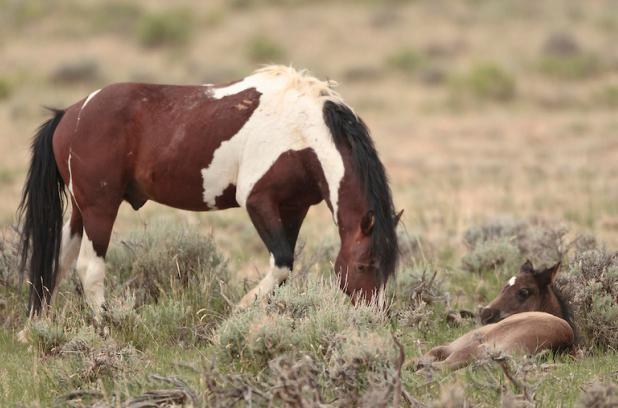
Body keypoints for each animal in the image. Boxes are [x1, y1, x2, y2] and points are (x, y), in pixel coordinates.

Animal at [18, 65, 400, 318]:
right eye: (365, 265)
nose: (375, 317)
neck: (303, 129)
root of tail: (70, 113)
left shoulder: (294, 208)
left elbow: (285, 267)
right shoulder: (258, 201)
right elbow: (282, 263)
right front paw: (241, 310)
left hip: (81, 209)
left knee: (57, 262)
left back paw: (36, 328)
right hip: (101, 207)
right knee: (89, 268)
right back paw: (104, 327)